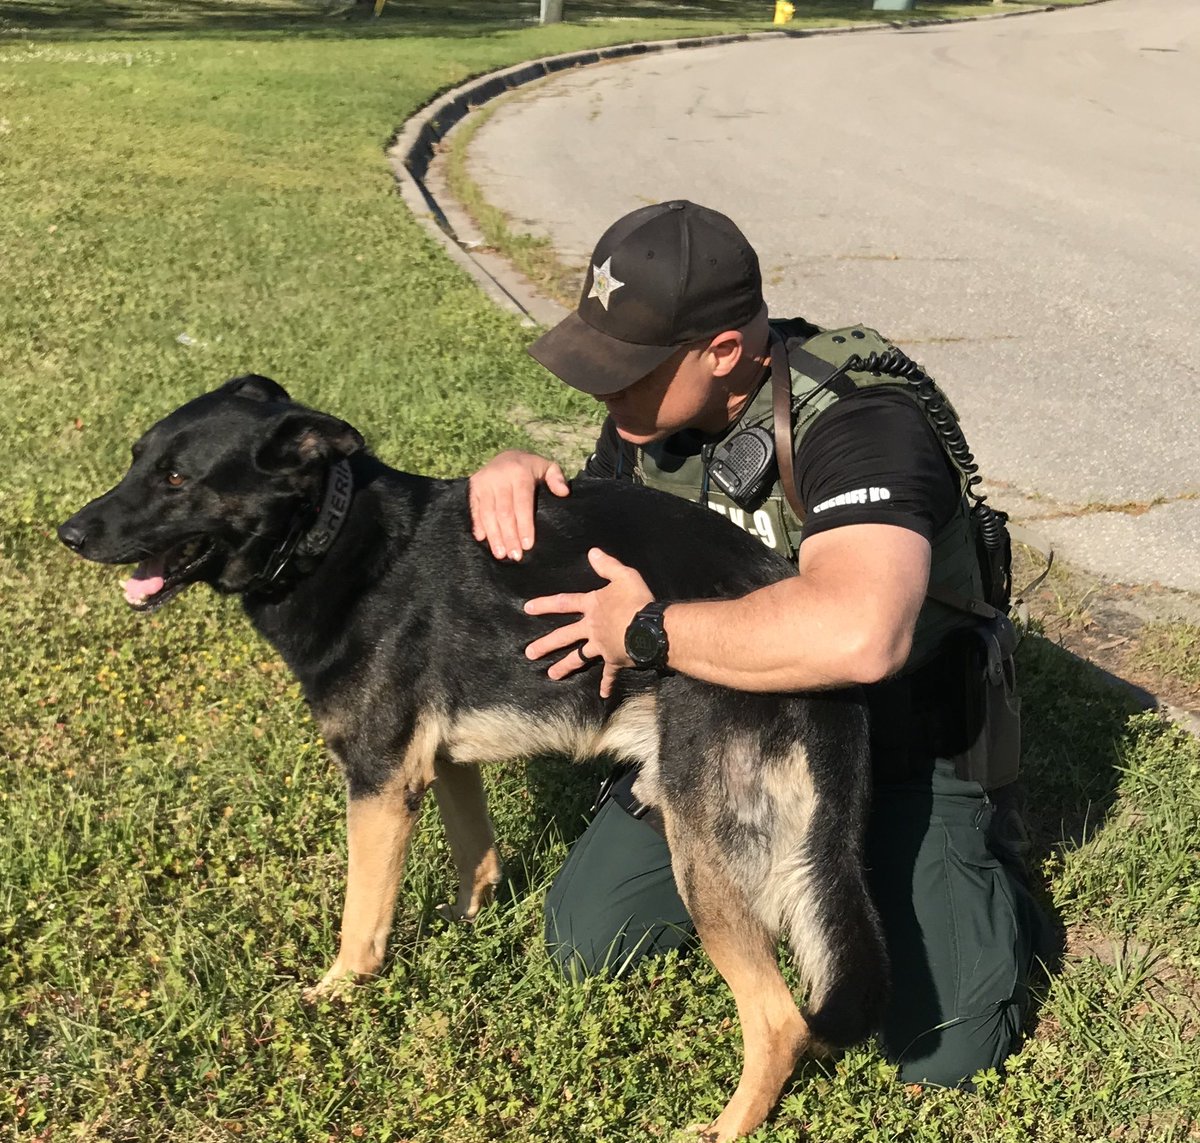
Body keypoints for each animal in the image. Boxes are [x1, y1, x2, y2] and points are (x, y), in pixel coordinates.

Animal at [58, 379, 892, 1138]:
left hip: (707, 855)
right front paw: (468, 929)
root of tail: (838, 690)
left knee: (780, 1019)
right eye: (137, 461)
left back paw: (724, 1126)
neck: (330, 533)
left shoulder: (379, 779)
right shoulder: (444, 763)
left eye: (176, 478)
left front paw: (338, 992)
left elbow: (361, 918)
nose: (68, 533)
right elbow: (477, 859)